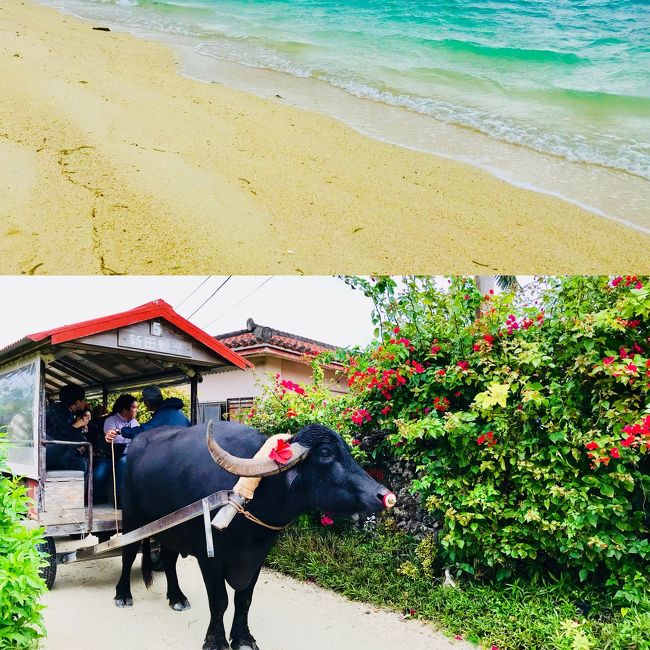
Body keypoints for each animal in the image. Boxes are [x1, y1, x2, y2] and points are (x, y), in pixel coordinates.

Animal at [113, 420, 392, 648]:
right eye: (325, 454)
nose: (384, 496)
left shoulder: (257, 557)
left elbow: (244, 599)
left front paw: (243, 639)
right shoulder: (209, 558)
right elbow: (220, 600)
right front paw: (215, 642)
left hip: (171, 530)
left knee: (169, 561)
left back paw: (177, 598)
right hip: (131, 518)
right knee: (128, 553)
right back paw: (123, 595)